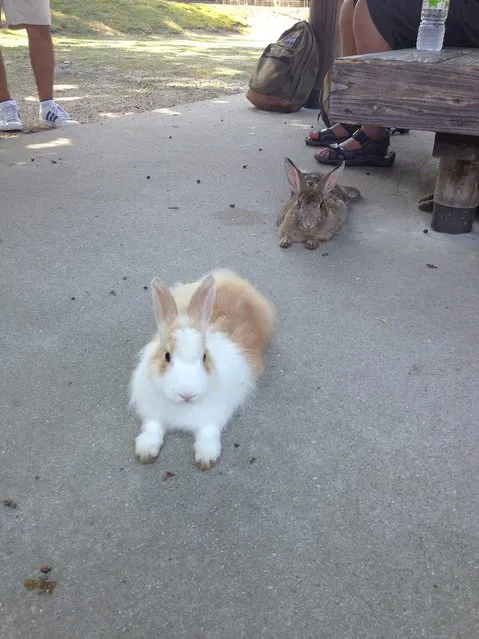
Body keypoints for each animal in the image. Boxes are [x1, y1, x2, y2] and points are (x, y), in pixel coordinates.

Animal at [129, 270, 276, 470]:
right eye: (167, 356)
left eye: (204, 357)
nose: (187, 394)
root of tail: (232, 279)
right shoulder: (152, 413)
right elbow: (152, 428)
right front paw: (145, 452)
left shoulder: (214, 415)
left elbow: (208, 433)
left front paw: (206, 459)